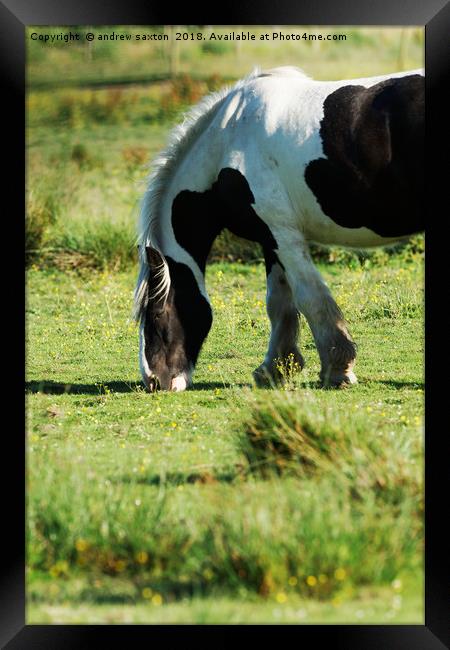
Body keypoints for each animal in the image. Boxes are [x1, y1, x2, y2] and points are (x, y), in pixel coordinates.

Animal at [133, 64, 422, 390]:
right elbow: (279, 302)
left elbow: (310, 297)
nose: (153, 381)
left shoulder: (284, 236)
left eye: (156, 314)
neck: (227, 144)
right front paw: (276, 368)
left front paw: (338, 368)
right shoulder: (269, 240)